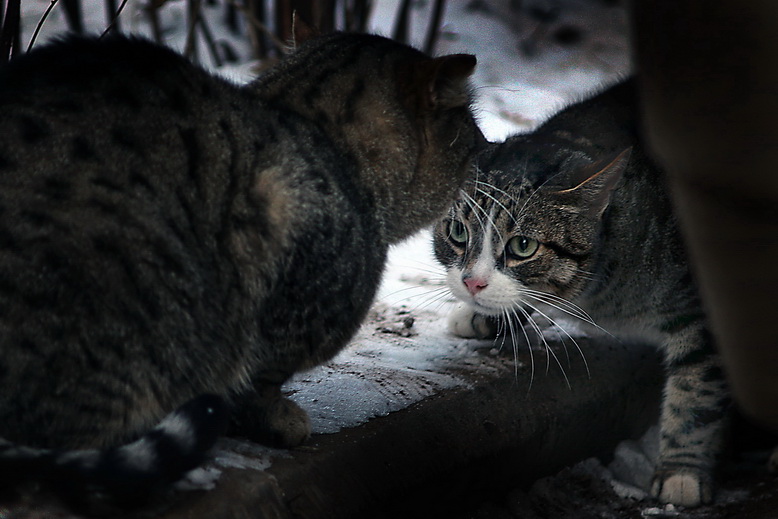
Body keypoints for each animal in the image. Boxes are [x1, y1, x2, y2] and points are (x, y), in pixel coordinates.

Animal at [430, 81, 728, 508]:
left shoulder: (704, 306)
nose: (472, 282)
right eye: (457, 231)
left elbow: (697, 385)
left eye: (523, 246)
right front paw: (484, 316)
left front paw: (681, 472)